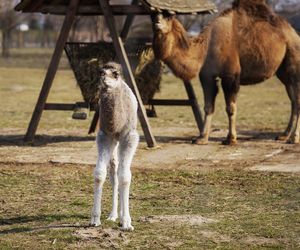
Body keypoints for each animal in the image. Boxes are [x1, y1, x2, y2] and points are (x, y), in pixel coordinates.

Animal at [91, 62, 139, 230]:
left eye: (115, 74)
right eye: (100, 71)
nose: (103, 76)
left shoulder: (129, 137)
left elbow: (125, 176)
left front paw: (127, 222)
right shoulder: (105, 136)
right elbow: (99, 174)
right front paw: (95, 219)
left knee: (120, 172)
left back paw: (121, 216)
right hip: (113, 143)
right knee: (113, 171)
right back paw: (113, 215)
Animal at [152, 0, 300, 145]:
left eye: (169, 16)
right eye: (154, 16)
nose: (157, 23)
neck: (205, 48)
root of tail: (294, 34)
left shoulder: (231, 75)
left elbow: (230, 108)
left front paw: (230, 139)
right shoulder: (206, 75)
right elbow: (208, 106)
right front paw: (201, 138)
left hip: (294, 63)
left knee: (297, 100)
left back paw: (294, 138)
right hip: (283, 72)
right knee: (293, 100)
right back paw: (284, 136)